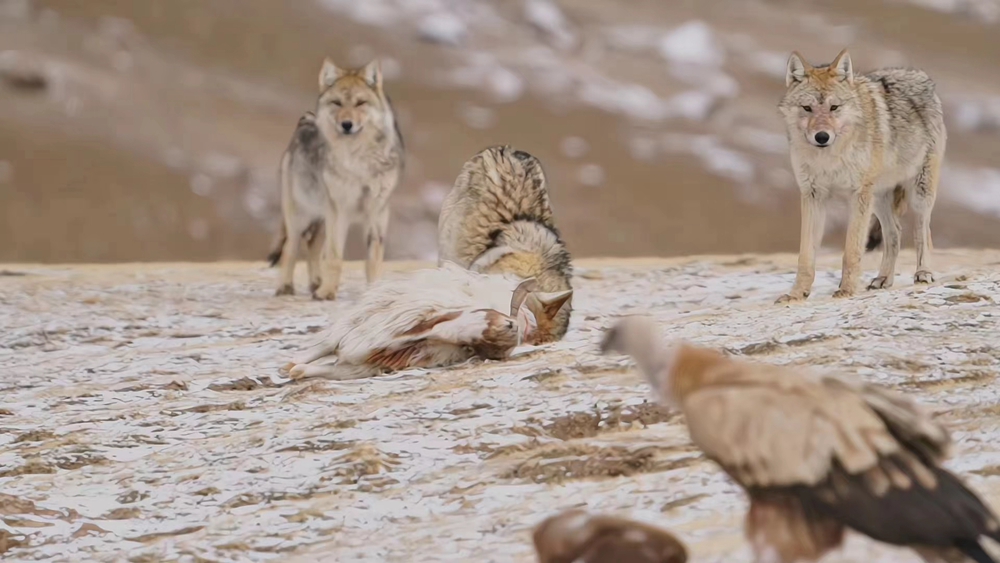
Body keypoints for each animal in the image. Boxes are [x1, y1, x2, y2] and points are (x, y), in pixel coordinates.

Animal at [270, 58, 406, 300]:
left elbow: (373, 260)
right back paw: (286, 287)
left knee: (312, 246)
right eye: (337, 103)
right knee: (290, 248)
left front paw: (373, 292)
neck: (359, 160)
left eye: (360, 103)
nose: (347, 124)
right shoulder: (339, 210)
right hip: (301, 215)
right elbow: (334, 257)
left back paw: (315, 283)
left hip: (322, 218)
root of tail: (306, 119)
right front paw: (327, 293)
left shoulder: (378, 213)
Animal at [776, 48, 948, 304]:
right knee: (894, 233)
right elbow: (806, 256)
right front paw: (796, 294)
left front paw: (846, 290)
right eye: (807, 108)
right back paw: (883, 279)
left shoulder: (858, 195)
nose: (822, 136)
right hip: (879, 198)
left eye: (834, 107)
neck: (829, 157)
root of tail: (921, 76)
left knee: (922, 231)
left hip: (919, 193)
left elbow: (852, 251)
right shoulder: (813, 195)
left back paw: (923, 273)